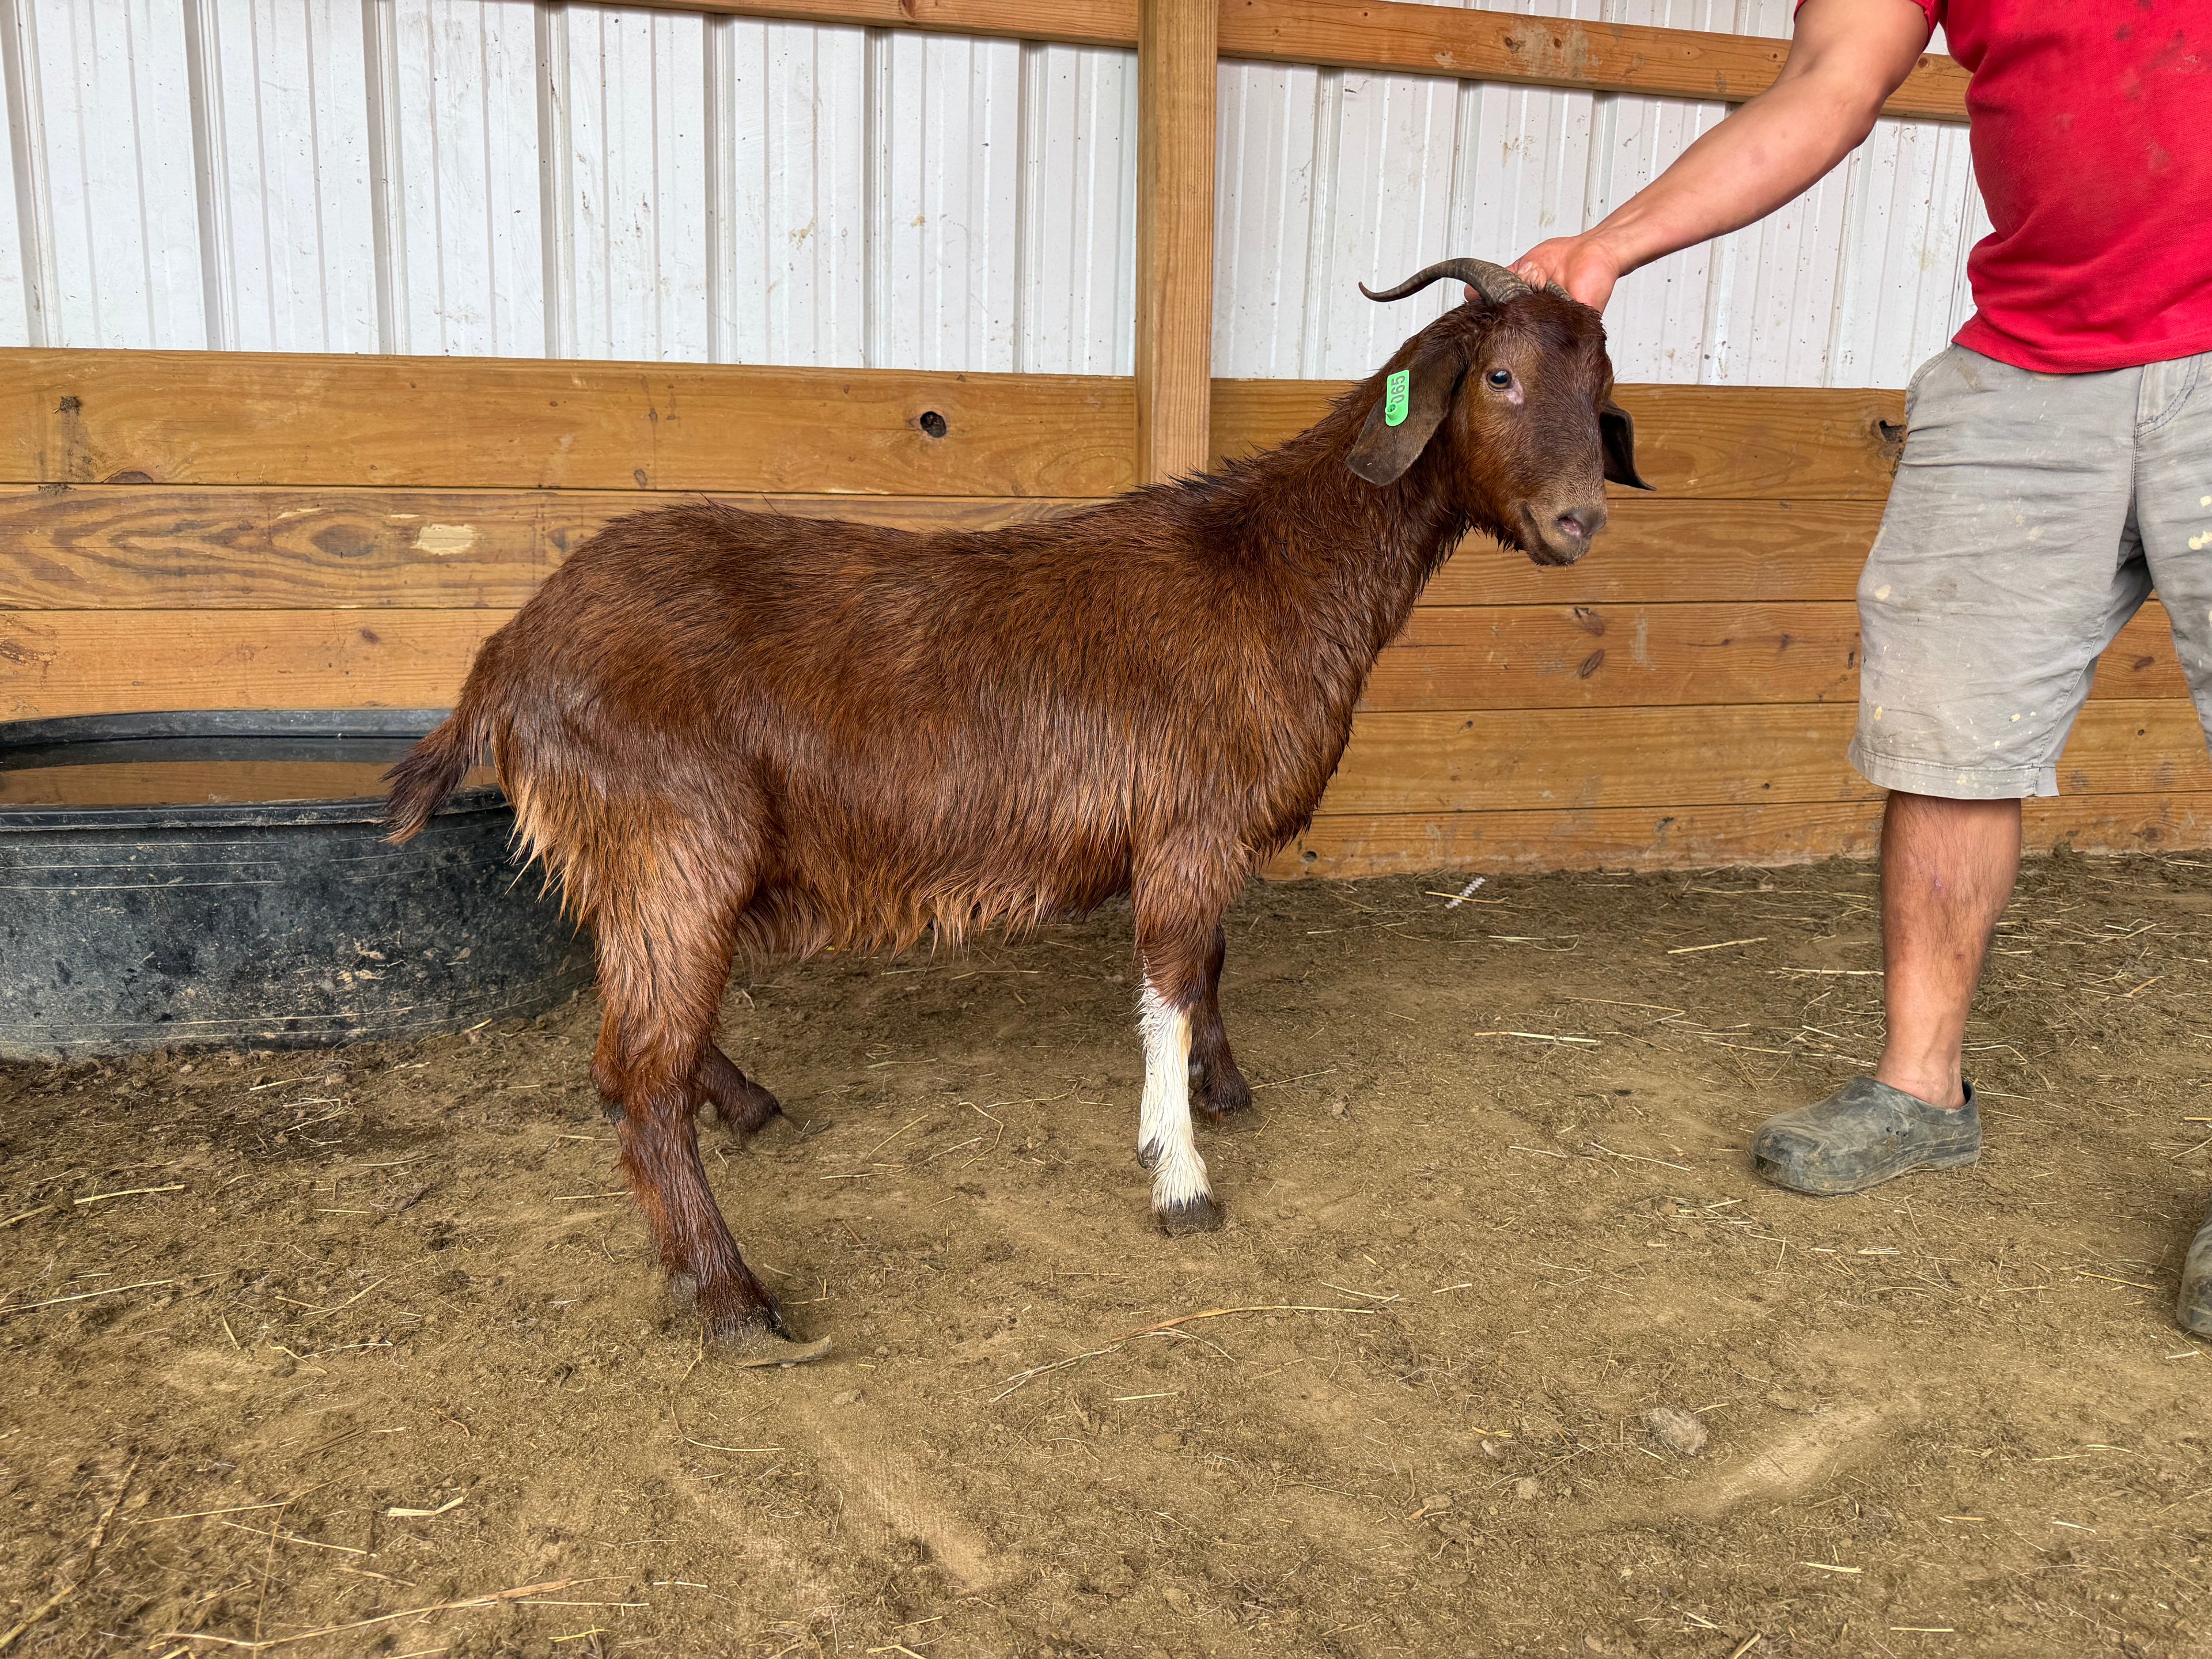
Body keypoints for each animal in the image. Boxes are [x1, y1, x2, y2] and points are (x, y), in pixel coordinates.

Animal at [385, 258, 1649, 1360]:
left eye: (1603, 388)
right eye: (1499, 376)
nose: (1579, 522)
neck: (1274, 568)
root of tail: (506, 656)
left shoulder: (1203, 836)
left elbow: (1212, 966)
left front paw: (1225, 1090)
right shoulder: (1189, 830)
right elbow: (1171, 980)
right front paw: (1180, 1175)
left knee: (648, 1040)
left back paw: (744, 1109)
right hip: (676, 845)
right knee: (637, 1076)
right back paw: (736, 1298)